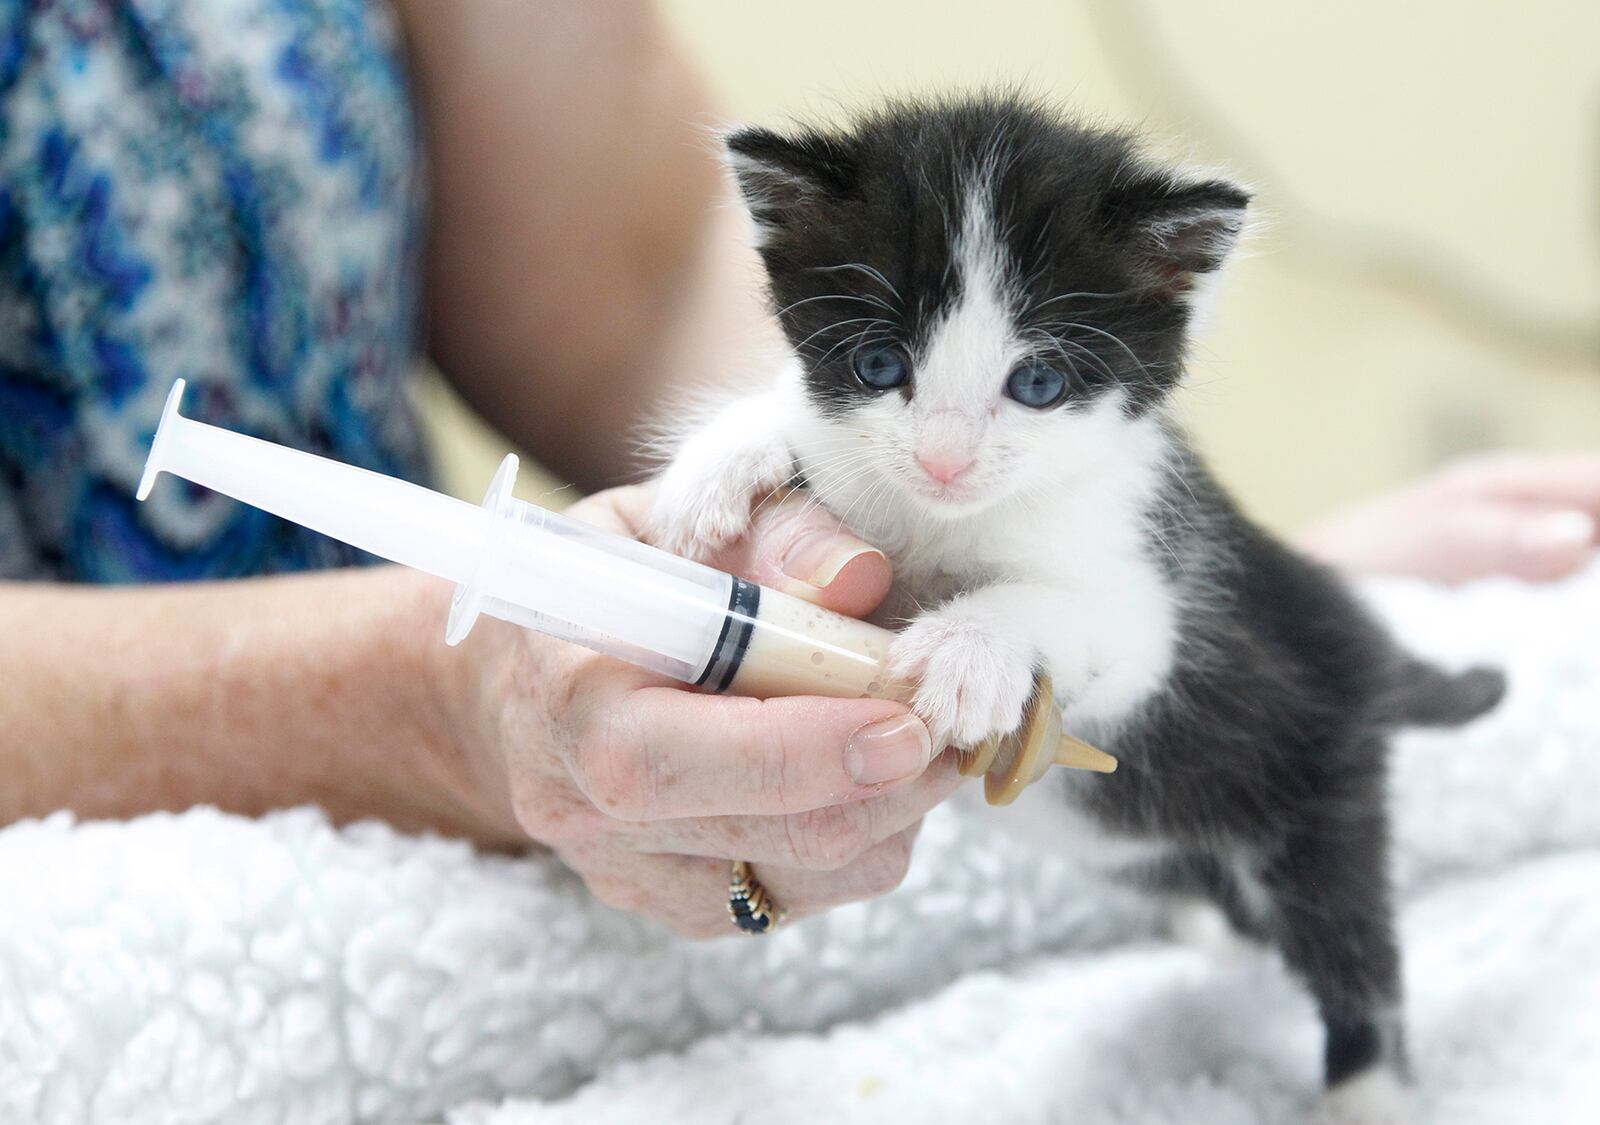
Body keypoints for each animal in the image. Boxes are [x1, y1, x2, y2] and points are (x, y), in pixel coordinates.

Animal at [646, 99, 1497, 1125]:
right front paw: (712, 466)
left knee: (1348, 940)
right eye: (879, 363)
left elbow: (1076, 610)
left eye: (1039, 384)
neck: (946, 522)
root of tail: (1365, 644)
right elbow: (801, 422)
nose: (942, 463)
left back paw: (1368, 1089)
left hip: (1316, 781)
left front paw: (970, 647)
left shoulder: (1154, 599)